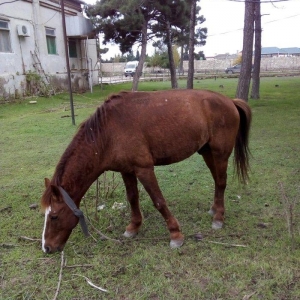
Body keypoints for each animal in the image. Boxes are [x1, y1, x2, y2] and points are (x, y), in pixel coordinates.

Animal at [39, 89, 251, 253]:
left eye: (54, 216)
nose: (47, 248)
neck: (107, 133)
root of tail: (230, 101)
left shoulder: (144, 169)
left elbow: (159, 201)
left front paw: (175, 234)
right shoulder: (126, 171)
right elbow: (133, 198)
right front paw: (133, 227)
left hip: (220, 153)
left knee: (221, 182)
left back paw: (218, 218)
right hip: (207, 152)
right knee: (217, 181)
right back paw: (214, 209)